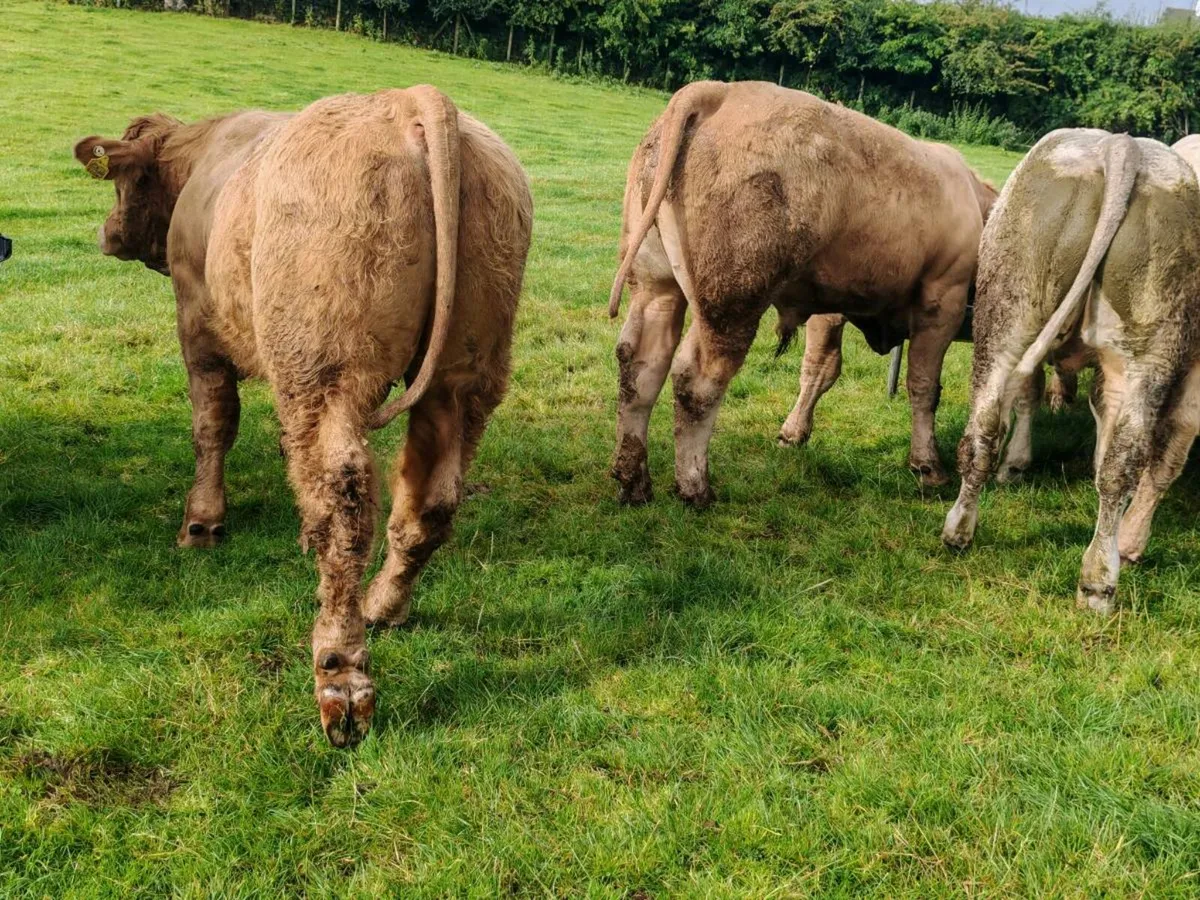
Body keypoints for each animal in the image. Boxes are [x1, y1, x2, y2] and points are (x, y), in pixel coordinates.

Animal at [74, 87, 533, 746]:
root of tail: (408, 99)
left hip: (326, 367)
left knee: (342, 499)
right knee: (429, 499)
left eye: (121, 184)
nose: (108, 234)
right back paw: (383, 606)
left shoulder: (197, 324)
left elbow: (214, 424)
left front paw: (201, 524)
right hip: (464, 373)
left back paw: (340, 680)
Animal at [608, 81, 997, 508]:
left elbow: (820, 368)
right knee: (696, 381)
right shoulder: (943, 299)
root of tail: (718, 91)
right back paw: (695, 487)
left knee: (640, 367)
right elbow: (924, 386)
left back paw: (633, 481)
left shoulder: (831, 304)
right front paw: (928, 465)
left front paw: (793, 433)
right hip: (732, 301)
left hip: (655, 284)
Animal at [942, 129, 1200, 614]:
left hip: (1011, 318)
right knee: (1125, 458)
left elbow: (1028, 396)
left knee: (985, 428)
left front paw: (1016, 465)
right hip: (1134, 347)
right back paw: (1100, 576)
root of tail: (1121, 145)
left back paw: (960, 532)